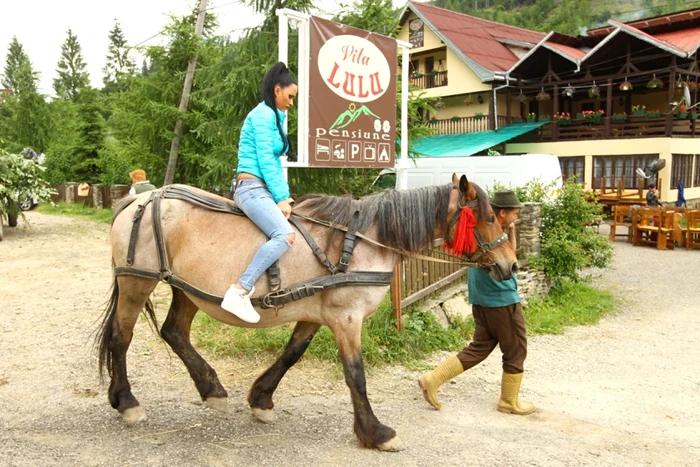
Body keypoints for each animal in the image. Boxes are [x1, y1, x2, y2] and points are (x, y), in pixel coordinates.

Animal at [95, 174, 516, 452]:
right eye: (487, 218)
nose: (509, 265)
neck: (360, 241)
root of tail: (139, 201)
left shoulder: (315, 315)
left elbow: (291, 355)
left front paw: (261, 399)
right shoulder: (347, 319)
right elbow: (355, 375)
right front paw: (375, 432)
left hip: (186, 290)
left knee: (174, 332)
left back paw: (210, 388)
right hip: (136, 283)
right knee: (121, 337)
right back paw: (127, 402)